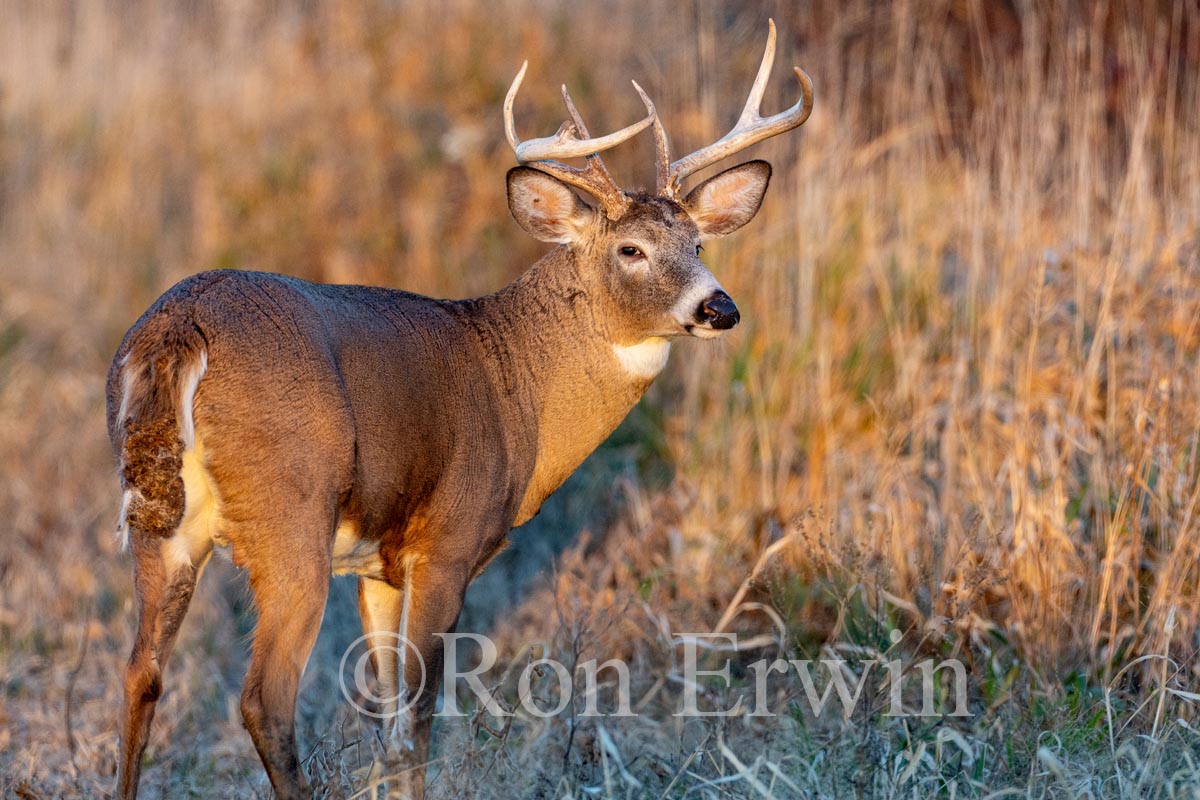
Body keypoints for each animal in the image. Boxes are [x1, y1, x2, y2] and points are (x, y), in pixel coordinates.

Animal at [105, 20, 811, 799]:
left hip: (159, 520)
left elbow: (388, 723)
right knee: (264, 697)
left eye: (699, 242)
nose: (719, 307)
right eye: (631, 248)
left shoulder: (378, 567)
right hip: (290, 514)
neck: (515, 384)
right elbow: (415, 725)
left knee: (140, 674)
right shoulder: (445, 544)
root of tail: (179, 328)